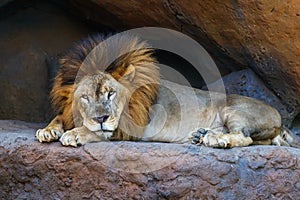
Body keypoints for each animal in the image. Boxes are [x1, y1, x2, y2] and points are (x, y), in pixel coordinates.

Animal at [37, 33, 300, 148]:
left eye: (111, 93)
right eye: (85, 97)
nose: (101, 117)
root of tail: (280, 118)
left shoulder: (130, 127)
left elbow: (97, 132)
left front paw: (74, 134)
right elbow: (59, 117)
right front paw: (48, 131)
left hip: (233, 110)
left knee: (245, 138)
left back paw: (215, 138)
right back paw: (201, 135)